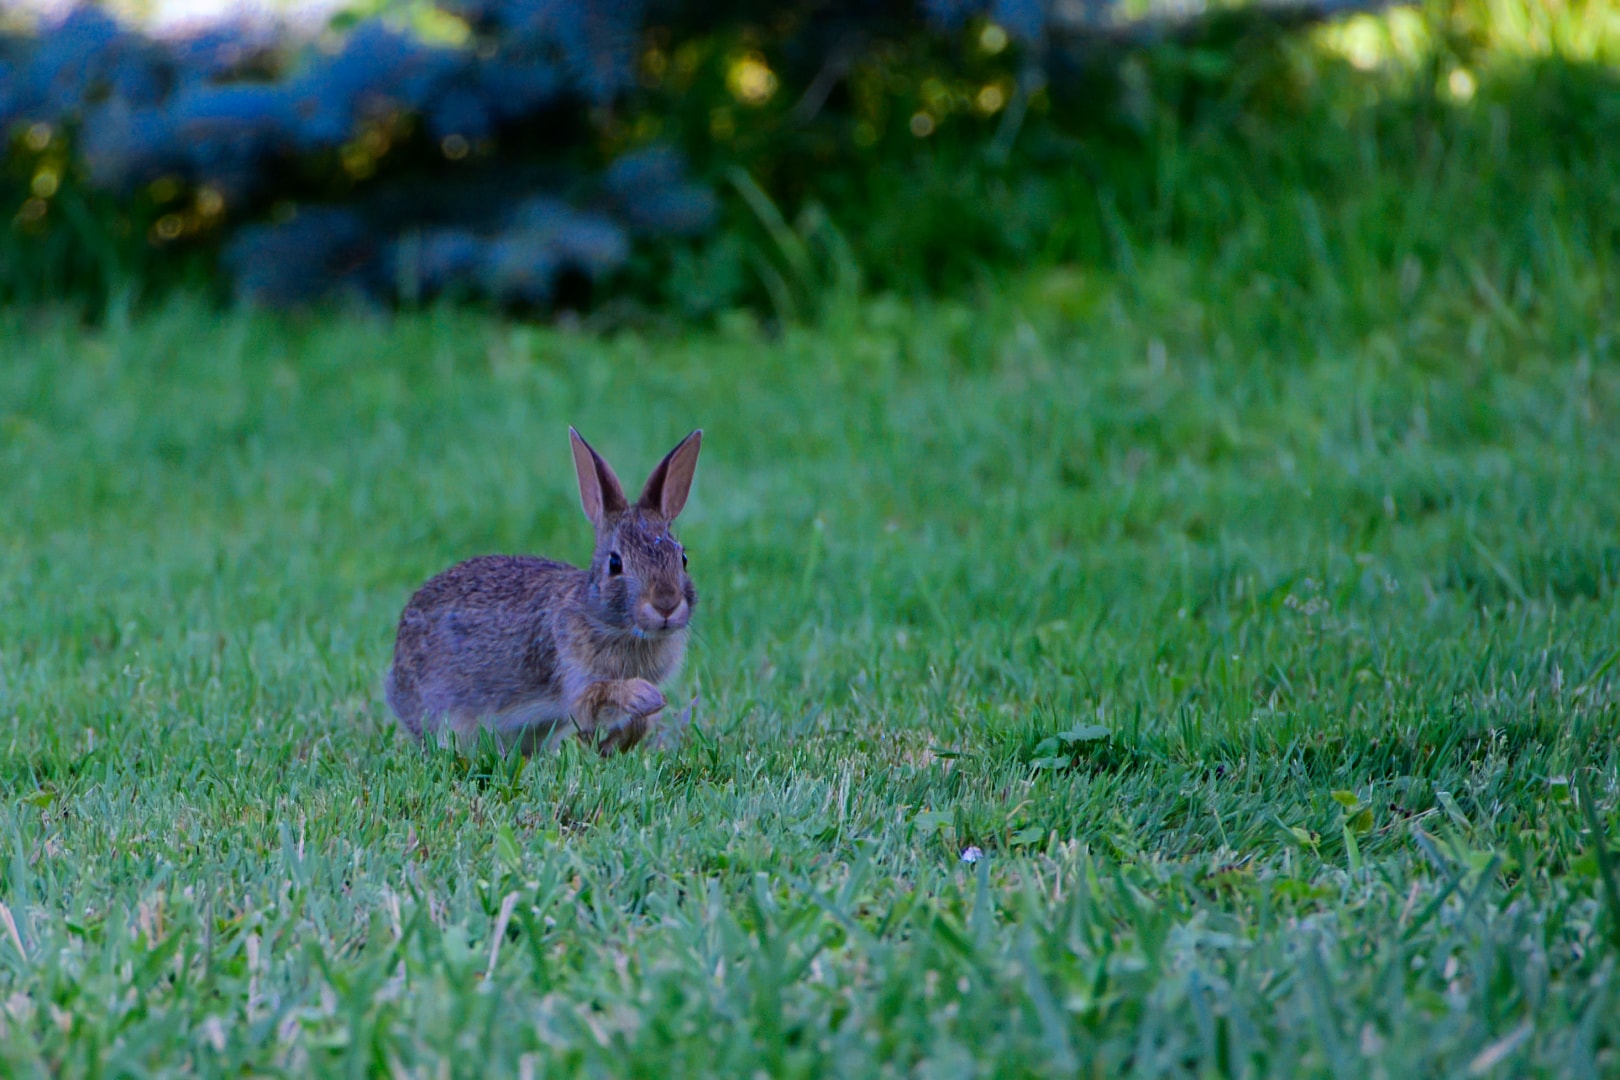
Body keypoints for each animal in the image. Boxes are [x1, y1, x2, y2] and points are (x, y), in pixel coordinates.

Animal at [385, 427, 702, 756]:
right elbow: (598, 697)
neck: (606, 621)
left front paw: (617, 741)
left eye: (683, 559)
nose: (666, 604)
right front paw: (644, 697)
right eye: (615, 563)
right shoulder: (576, 684)